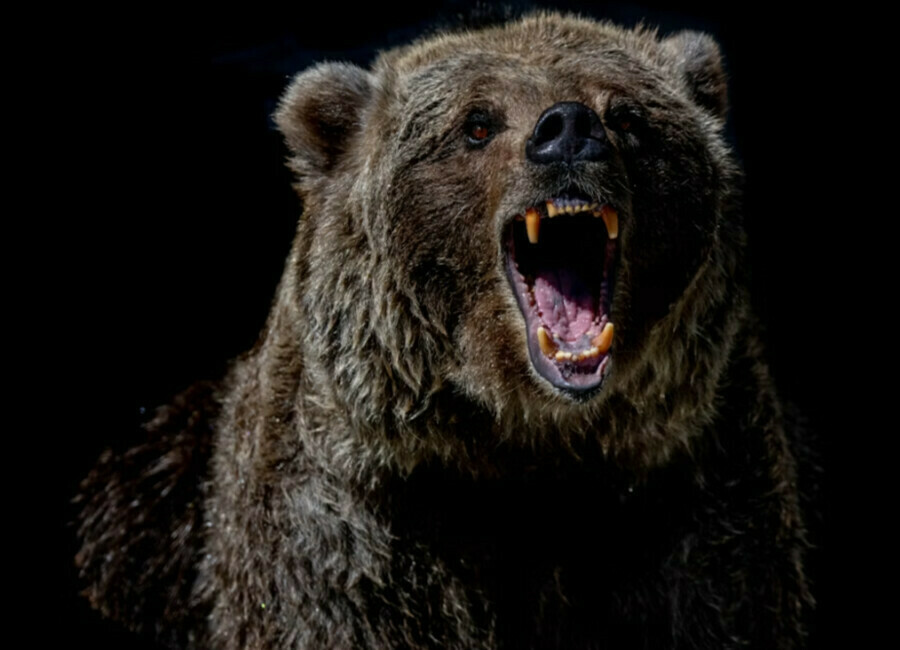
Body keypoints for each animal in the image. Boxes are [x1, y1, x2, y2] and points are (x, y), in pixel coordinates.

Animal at [75, 12, 814, 649]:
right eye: (477, 123)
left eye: (627, 114)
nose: (568, 128)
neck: (526, 446)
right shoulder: (353, 538)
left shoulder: (692, 504)